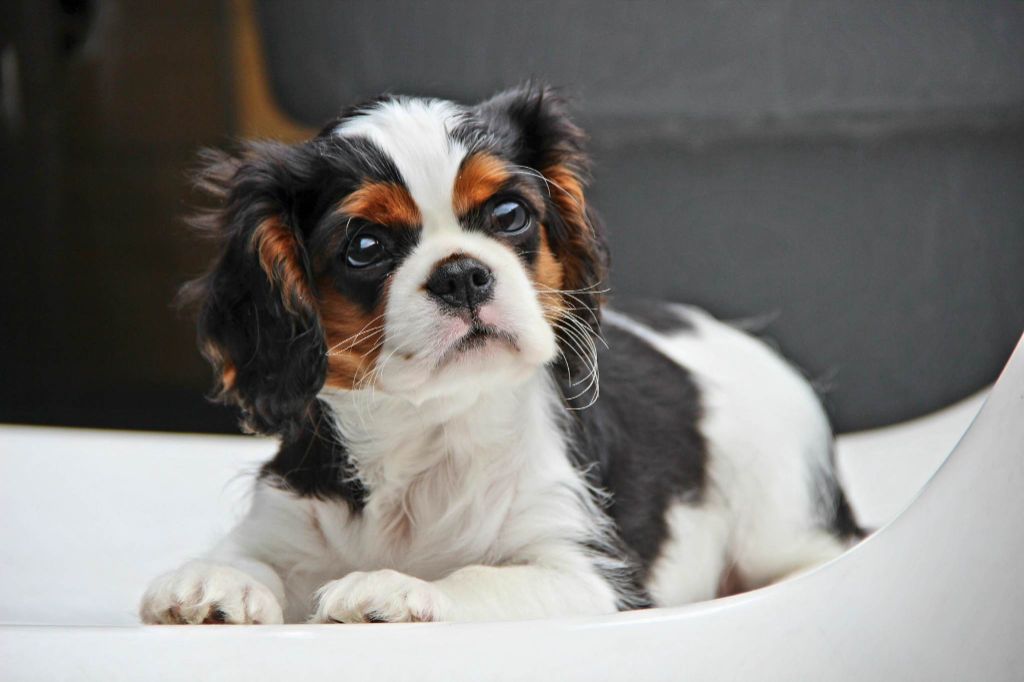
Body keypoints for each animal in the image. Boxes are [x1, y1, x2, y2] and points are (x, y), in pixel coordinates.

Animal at [138, 83, 856, 622]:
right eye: (365, 246)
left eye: (509, 214)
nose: (462, 274)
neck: (431, 429)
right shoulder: (284, 516)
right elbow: (250, 554)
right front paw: (212, 582)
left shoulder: (583, 573)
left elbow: (481, 578)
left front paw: (396, 588)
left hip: (779, 511)